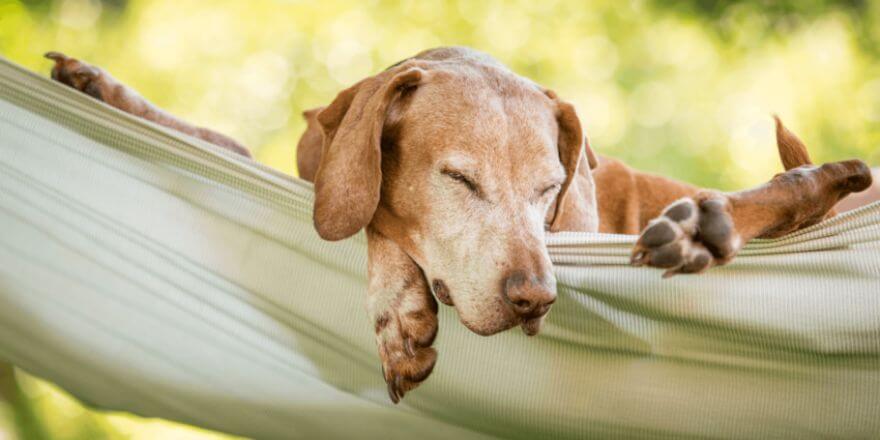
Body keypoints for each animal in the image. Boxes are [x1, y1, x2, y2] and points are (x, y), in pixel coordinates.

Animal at [44, 47, 876, 402]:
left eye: (548, 191)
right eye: (458, 179)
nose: (535, 298)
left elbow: (378, 230)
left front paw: (400, 309)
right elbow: (234, 147)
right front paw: (104, 87)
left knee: (797, 185)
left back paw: (713, 220)